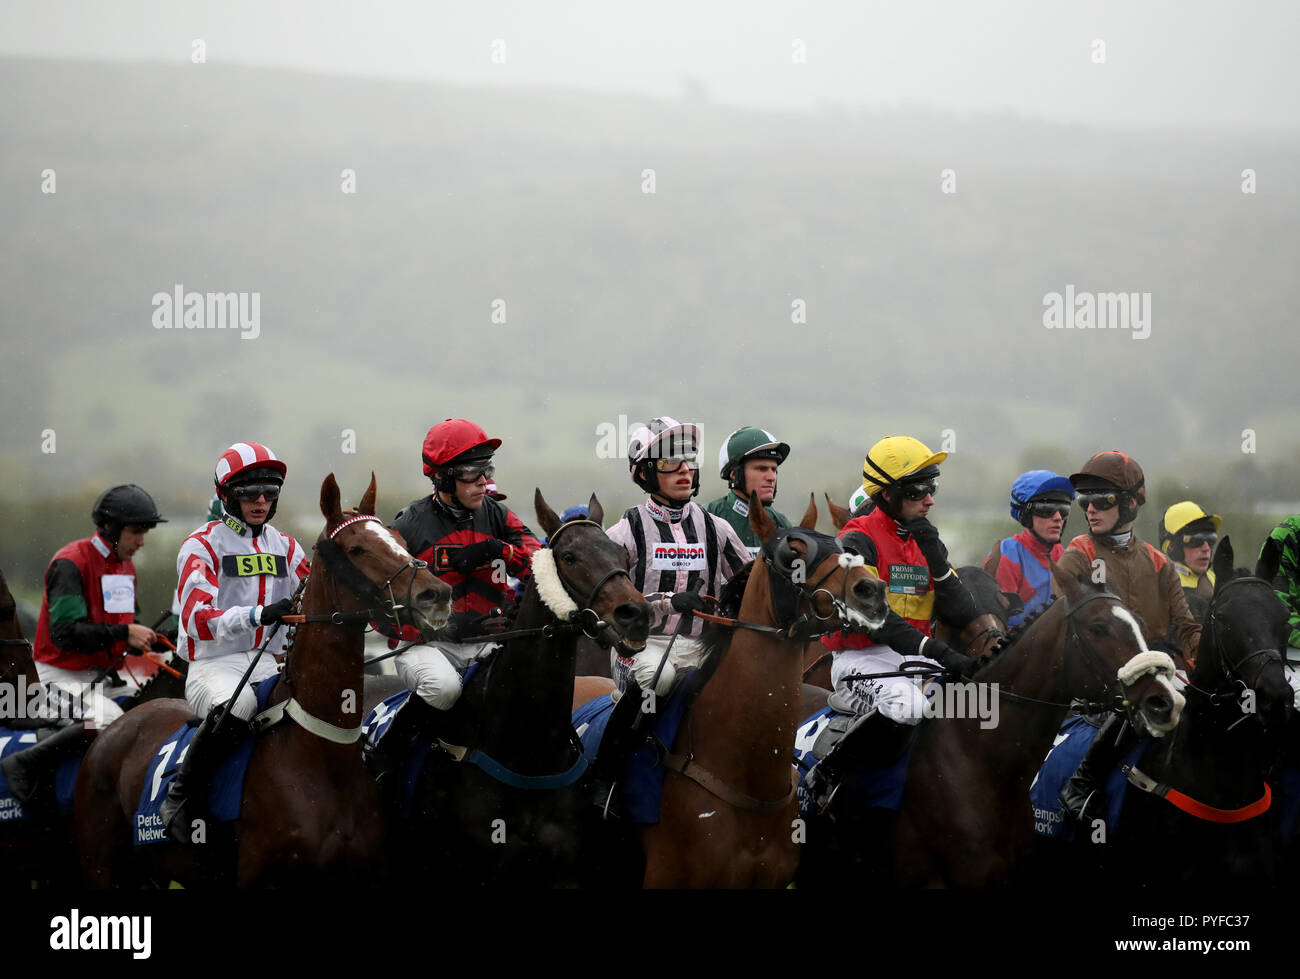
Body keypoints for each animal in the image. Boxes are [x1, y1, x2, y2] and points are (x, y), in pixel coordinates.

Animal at [76, 473, 454, 884]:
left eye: (400, 541)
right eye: (357, 549)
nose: (437, 594)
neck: (322, 751)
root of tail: (114, 728)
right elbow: (200, 610)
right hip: (102, 866)